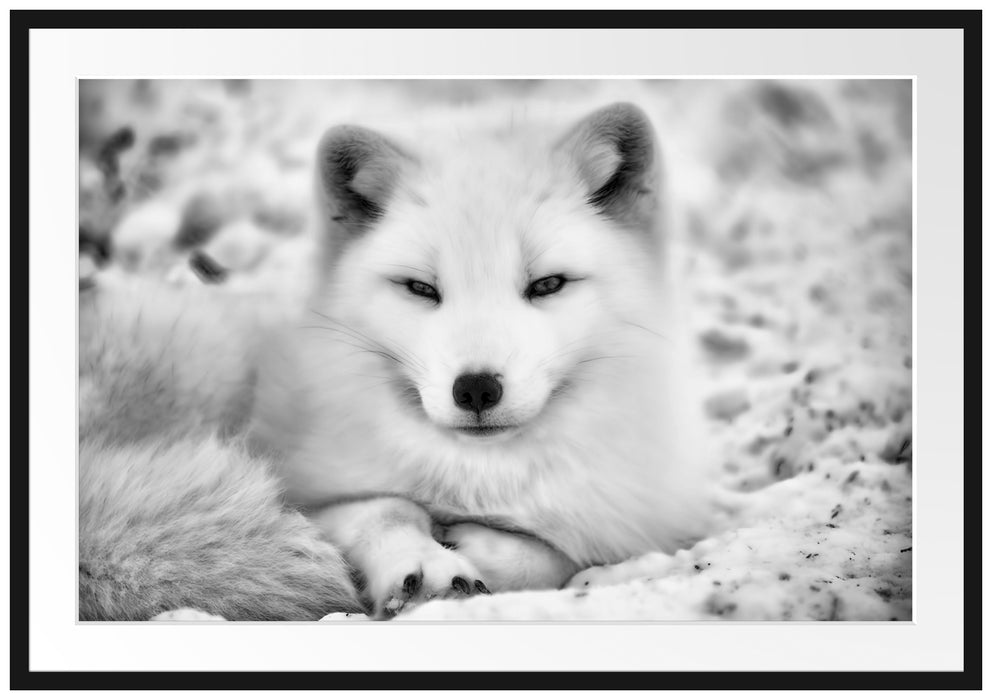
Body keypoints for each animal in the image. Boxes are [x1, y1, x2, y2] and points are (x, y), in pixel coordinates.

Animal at [248, 101, 717, 618]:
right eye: (421, 288)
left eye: (548, 284)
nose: (475, 388)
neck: (483, 475)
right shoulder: (305, 493)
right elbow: (385, 509)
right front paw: (424, 564)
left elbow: (555, 555)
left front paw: (483, 550)